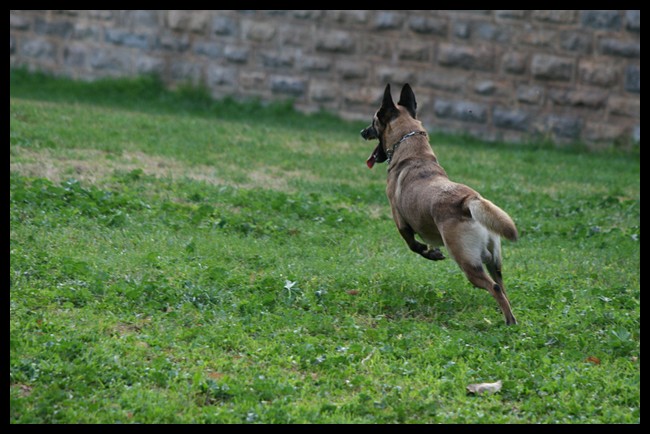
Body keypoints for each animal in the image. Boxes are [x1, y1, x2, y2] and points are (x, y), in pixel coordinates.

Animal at [360, 82, 516, 326]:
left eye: (374, 120)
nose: (362, 131)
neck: (413, 152)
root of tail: (469, 200)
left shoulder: (400, 222)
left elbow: (413, 245)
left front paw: (431, 253)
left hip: (467, 262)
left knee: (494, 288)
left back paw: (509, 322)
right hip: (494, 262)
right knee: (502, 286)